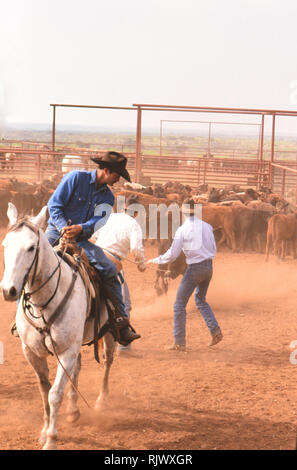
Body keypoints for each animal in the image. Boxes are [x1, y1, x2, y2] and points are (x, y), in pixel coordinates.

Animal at [0, 203, 115, 452]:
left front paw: (52, 439)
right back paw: (73, 410)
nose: (8, 290)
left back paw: (102, 401)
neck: (44, 303)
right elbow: (44, 390)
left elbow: (54, 394)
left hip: (108, 334)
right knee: (77, 369)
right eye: (5, 245)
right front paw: (44, 431)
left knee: (107, 361)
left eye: (31, 248)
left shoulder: (66, 351)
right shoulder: (31, 352)